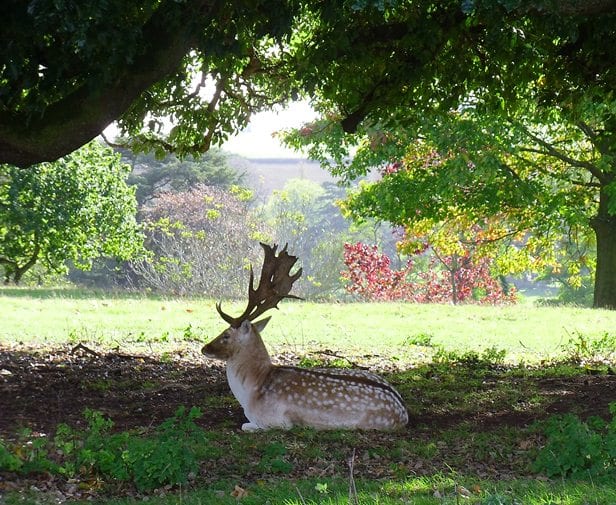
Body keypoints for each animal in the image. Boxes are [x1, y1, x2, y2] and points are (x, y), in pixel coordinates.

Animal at [201, 242, 410, 432]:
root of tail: (404, 412)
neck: (252, 391)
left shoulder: (276, 421)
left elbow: (245, 426)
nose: (204, 348)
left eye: (226, 335)